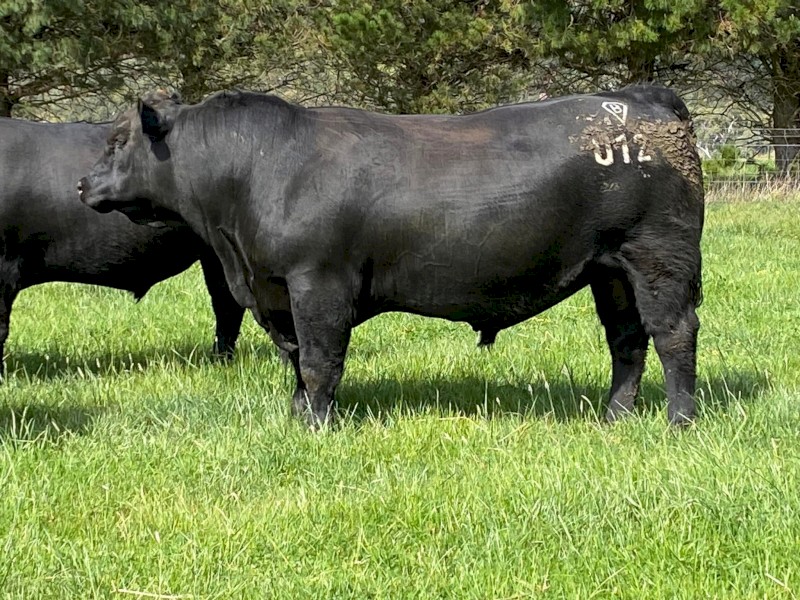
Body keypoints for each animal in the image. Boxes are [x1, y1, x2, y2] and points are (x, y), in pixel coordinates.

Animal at [78, 86, 705, 428]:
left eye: (117, 141)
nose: (82, 184)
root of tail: (639, 99)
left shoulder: (317, 283)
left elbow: (319, 361)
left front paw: (319, 428)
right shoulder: (275, 291)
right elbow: (295, 362)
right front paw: (296, 417)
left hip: (659, 256)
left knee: (673, 334)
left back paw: (679, 421)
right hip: (612, 271)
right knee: (627, 340)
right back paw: (614, 417)